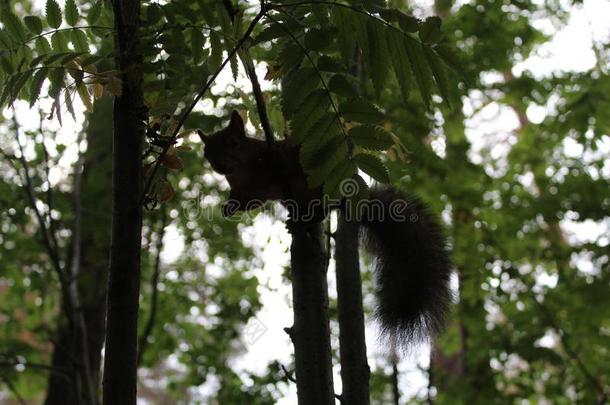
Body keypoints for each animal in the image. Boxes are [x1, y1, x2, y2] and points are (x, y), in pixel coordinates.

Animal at [197, 109, 448, 344]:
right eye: (206, 153)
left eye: (233, 142)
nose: (219, 165)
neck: (243, 170)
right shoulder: (249, 191)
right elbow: (248, 201)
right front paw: (228, 207)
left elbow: (275, 158)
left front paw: (278, 160)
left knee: (322, 210)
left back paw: (303, 219)